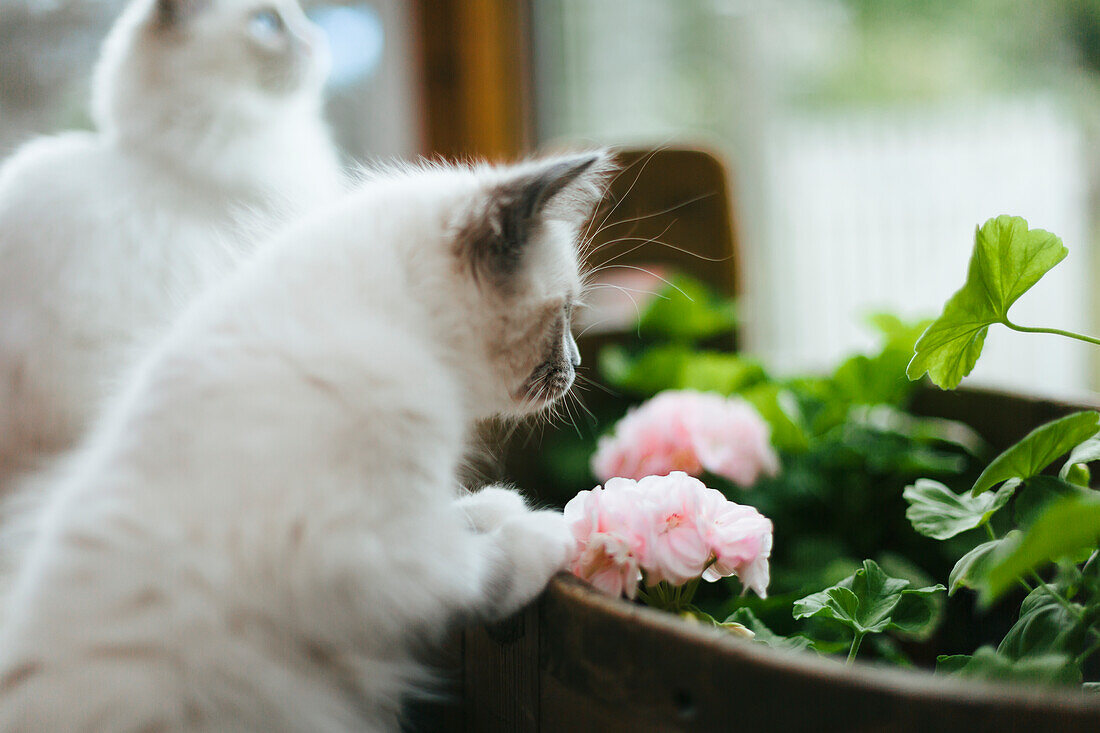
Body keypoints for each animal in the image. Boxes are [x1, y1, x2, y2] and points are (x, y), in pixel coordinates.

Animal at [0, 150, 611, 726]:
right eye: (564, 313)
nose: (578, 363)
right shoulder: (362, 551)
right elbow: (481, 569)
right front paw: (547, 529)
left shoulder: (398, 502)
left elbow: (457, 516)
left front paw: (500, 505)